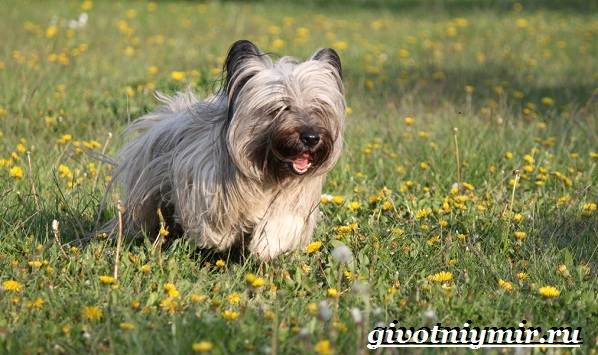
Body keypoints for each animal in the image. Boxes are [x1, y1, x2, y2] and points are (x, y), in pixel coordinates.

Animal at [113, 40, 346, 260]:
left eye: (318, 107)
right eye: (281, 107)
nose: (311, 138)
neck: (268, 168)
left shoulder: (295, 197)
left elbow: (284, 219)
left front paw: (267, 245)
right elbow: (213, 219)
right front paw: (221, 237)